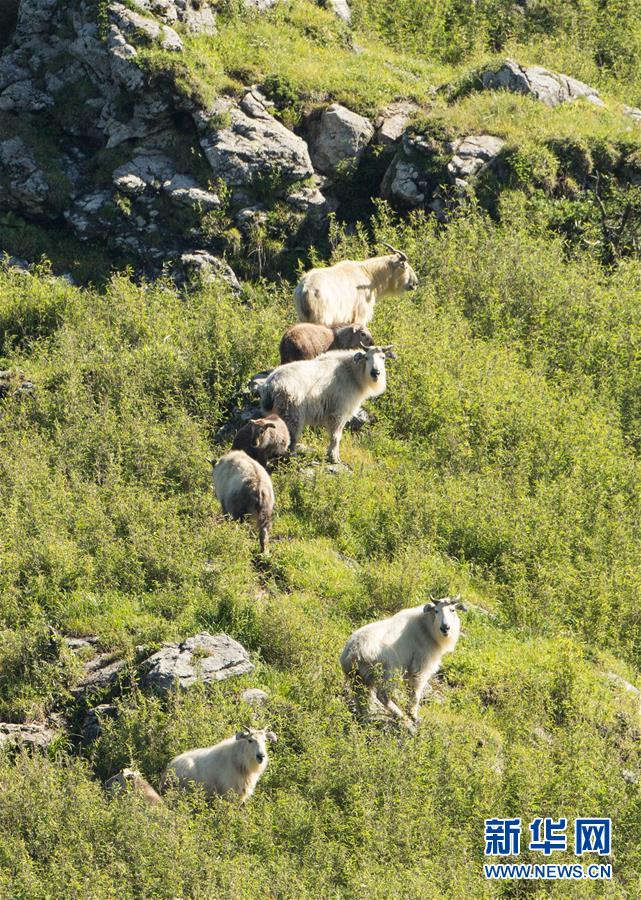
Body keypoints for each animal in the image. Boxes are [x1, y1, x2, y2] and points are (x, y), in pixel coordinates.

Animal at [260, 342, 396, 460]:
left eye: (383, 357)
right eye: (366, 358)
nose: (375, 373)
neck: (352, 374)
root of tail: (271, 384)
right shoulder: (339, 412)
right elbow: (336, 436)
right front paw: (334, 457)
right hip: (293, 413)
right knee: (291, 437)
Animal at [340, 596, 464, 728]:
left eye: (452, 610)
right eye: (436, 611)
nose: (445, 628)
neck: (426, 628)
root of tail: (352, 654)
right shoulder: (421, 664)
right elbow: (416, 690)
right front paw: (413, 715)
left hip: (358, 678)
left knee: (361, 697)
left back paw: (365, 719)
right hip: (388, 671)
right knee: (382, 695)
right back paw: (401, 717)